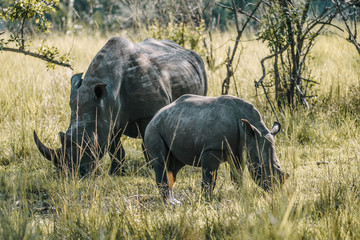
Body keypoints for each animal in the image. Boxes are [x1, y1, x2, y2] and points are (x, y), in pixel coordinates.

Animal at [35, 36, 208, 175]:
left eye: (89, 143)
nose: (73, 172)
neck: (109, 93)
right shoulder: (109, 117)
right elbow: (114, 148)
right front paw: (115, 172)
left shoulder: (147, 114)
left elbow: (146, 142)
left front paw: (152, 168)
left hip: (201, 70)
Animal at [143, 94, 286, 203]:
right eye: (260, 166)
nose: (275, 189)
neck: (249, 132)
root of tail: (155, 115)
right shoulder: (212, 149)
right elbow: (209, 178)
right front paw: (207, 201)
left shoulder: (238, 152)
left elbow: (237, 176)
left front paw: (241, 195)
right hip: (154, 129)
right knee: (162, 162)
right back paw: (169, 203)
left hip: (173, 123)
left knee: (173, 166)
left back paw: (175, 202)